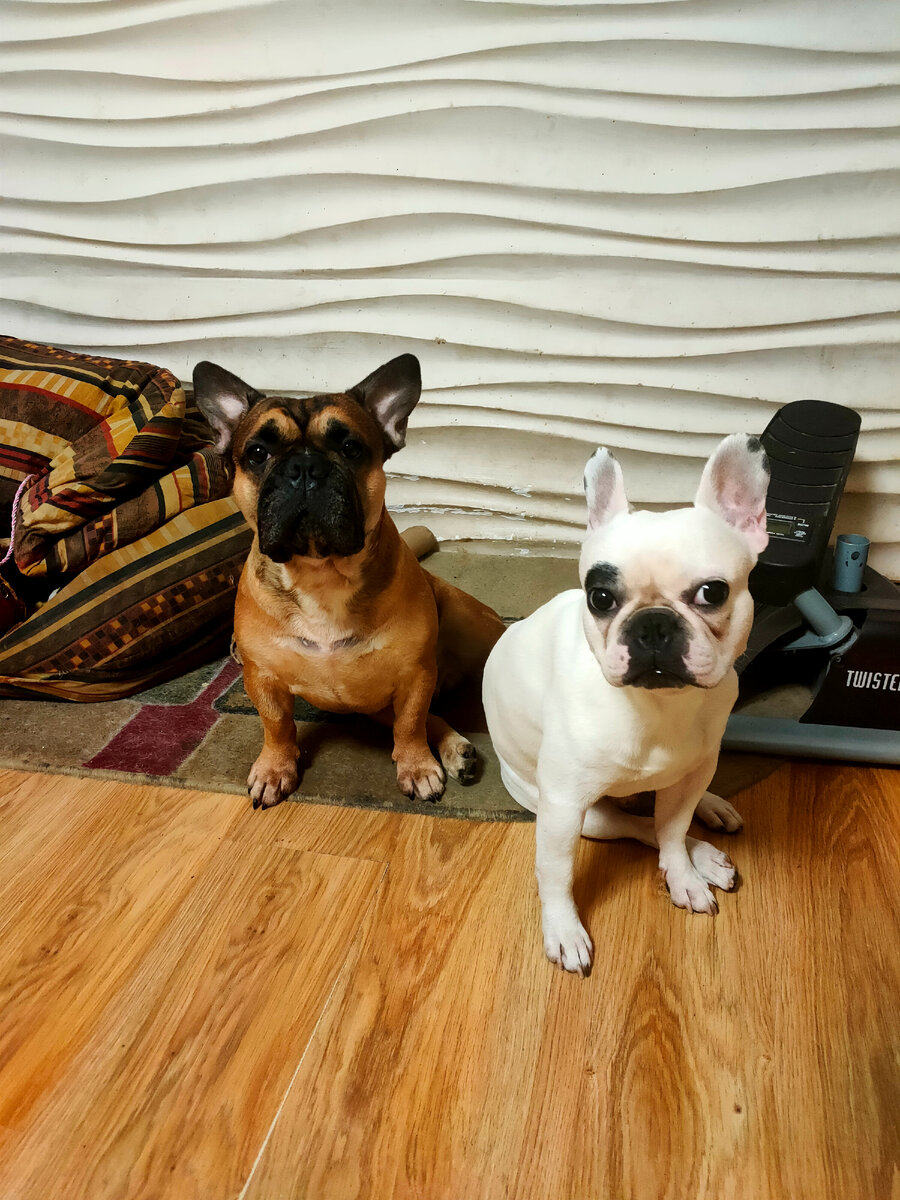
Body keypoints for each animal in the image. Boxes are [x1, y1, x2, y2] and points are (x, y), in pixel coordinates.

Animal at [193, 353, 505, 809]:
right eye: (257, 452)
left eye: (350, 447)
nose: (305, 467)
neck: (320, 574)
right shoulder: (262, 677)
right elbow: (277, 725)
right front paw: (275, 768)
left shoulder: (414, 674)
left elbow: (410, 723)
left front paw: (416, 766)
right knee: (431, 715)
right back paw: (454, 749)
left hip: (471, 628)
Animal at [483, 434, 770, 974]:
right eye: (599, 597)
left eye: (713, 592)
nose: (653, 623)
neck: (659, 706)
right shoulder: (563, 807)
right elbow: (556, 873)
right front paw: (563, 929)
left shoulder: (688, 779)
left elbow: (674, 832)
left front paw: (683, 875)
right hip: (583, 814)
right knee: (635, 825)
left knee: (667, 816)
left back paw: (709, 824)